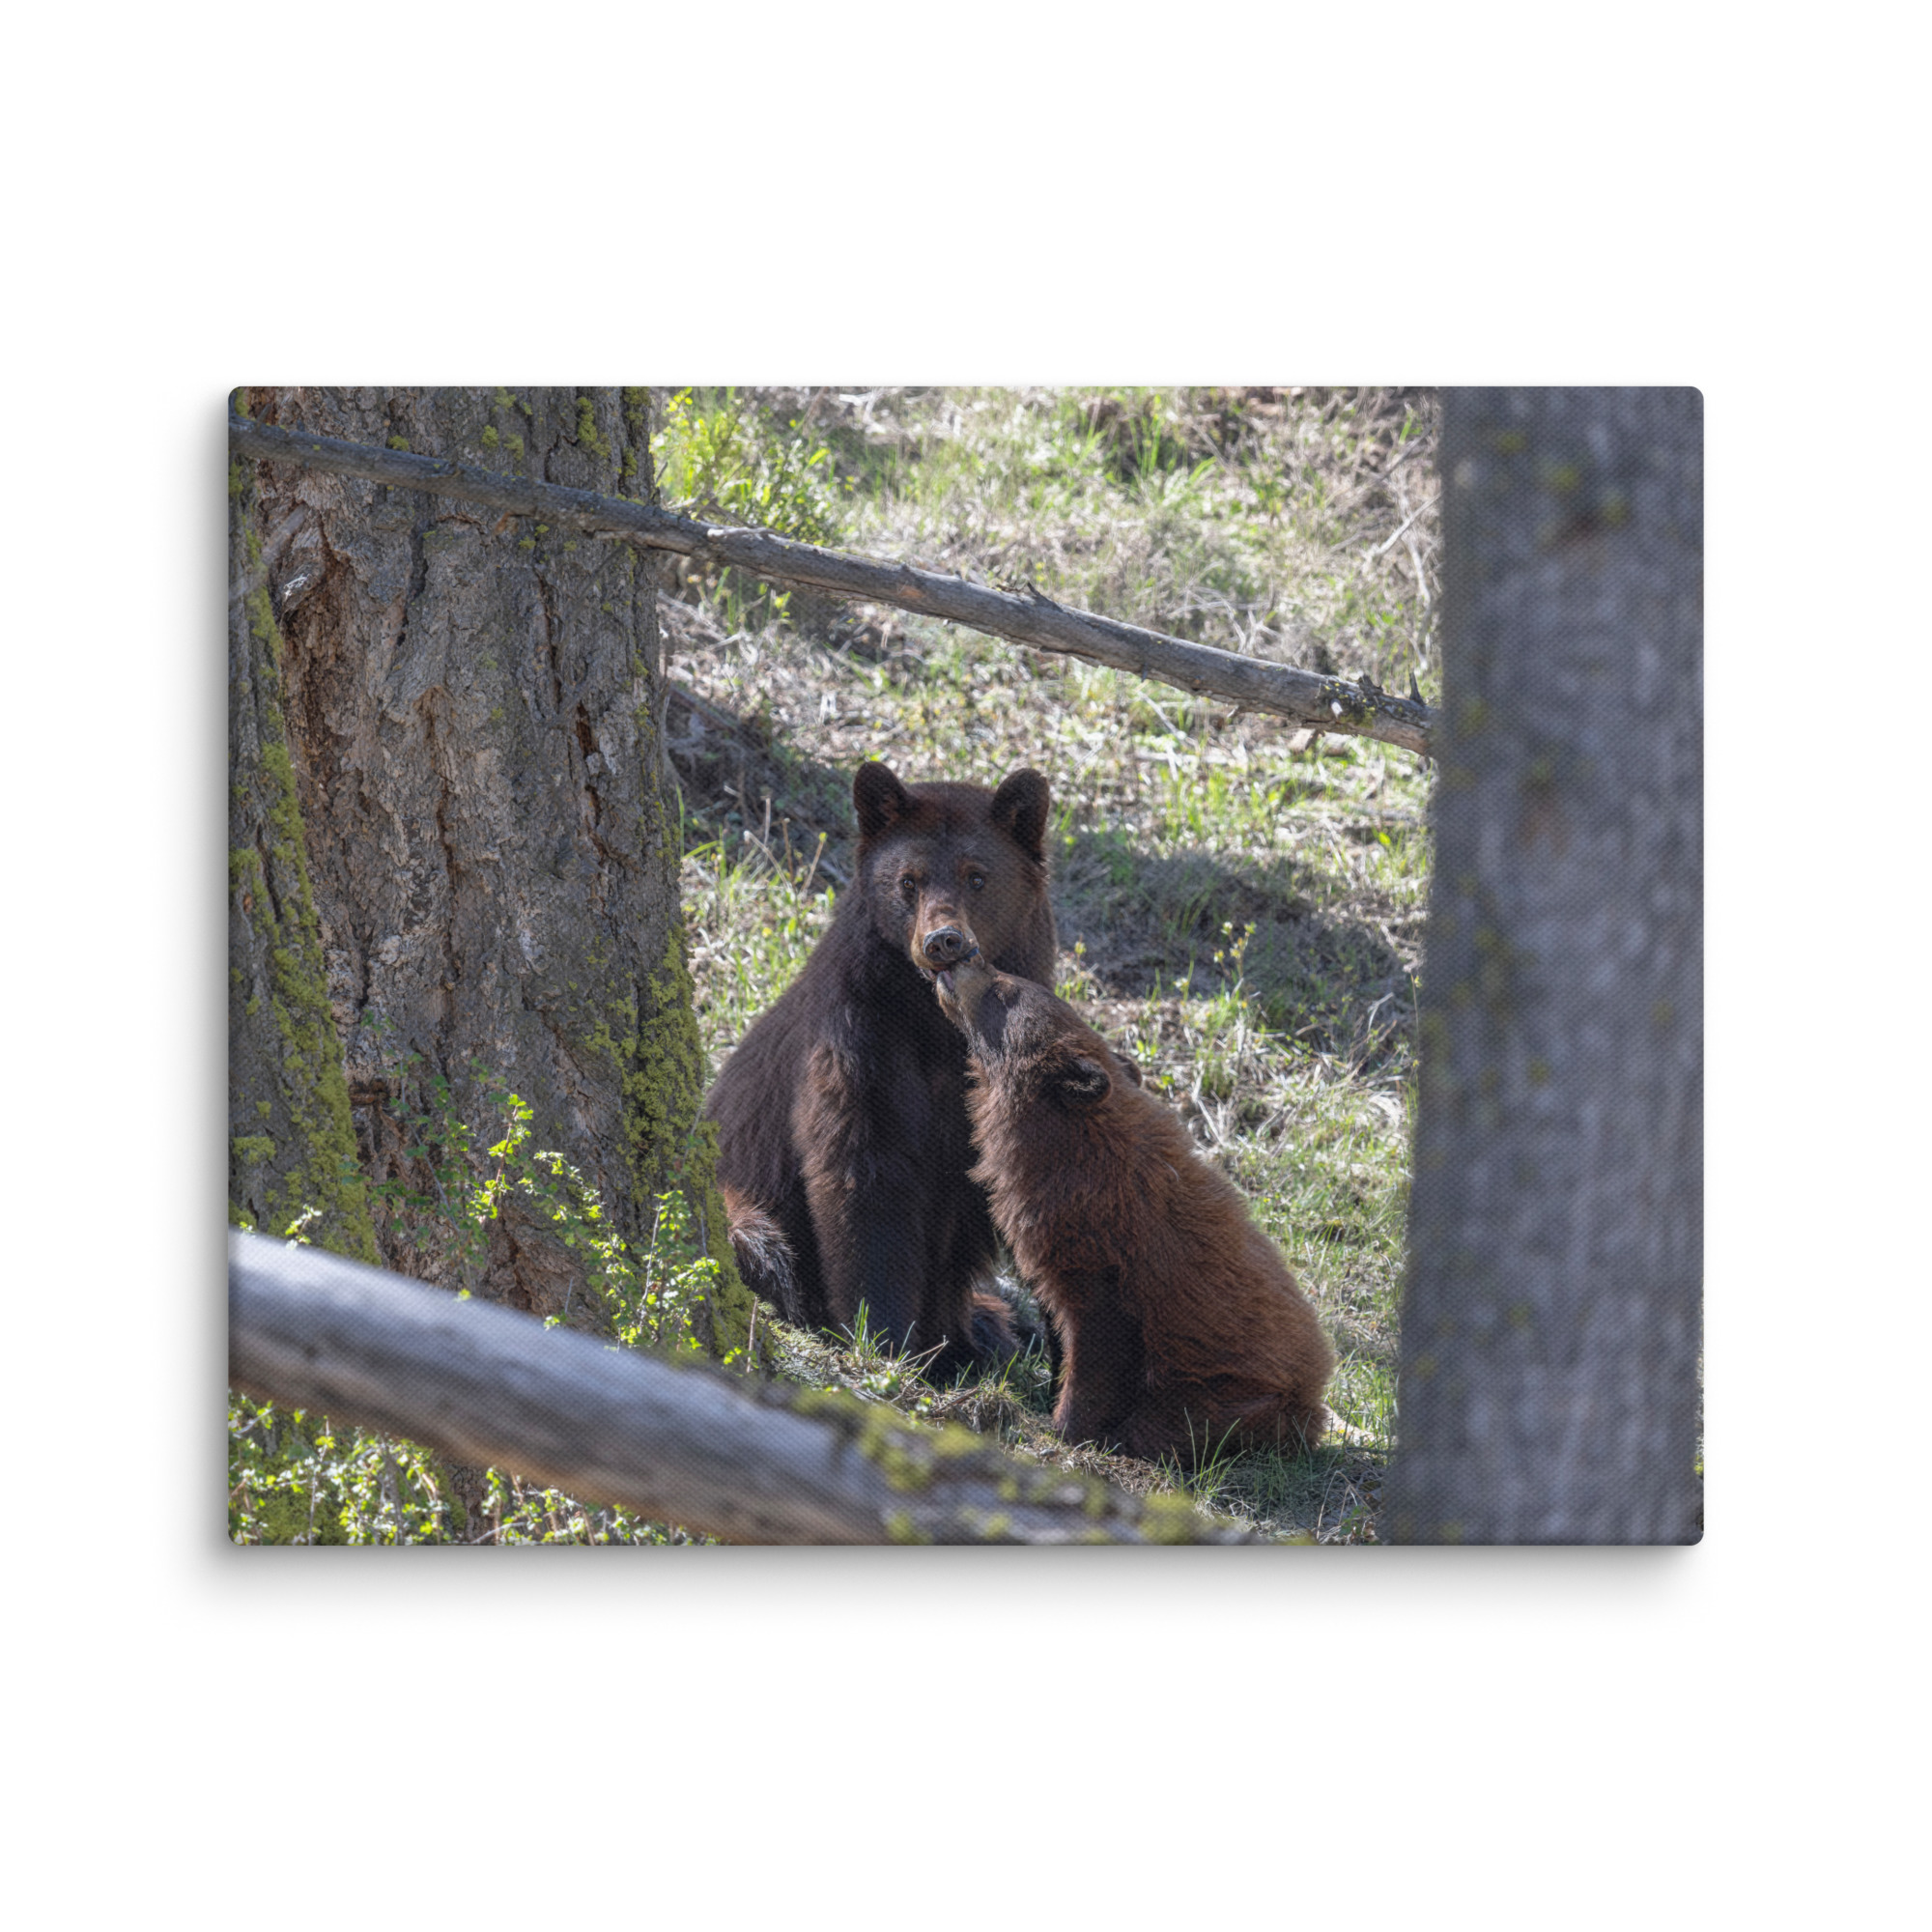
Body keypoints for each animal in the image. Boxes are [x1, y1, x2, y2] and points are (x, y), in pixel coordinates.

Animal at [703, 759, 1057, 1378]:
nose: (943, 941)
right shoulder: (859, 1038)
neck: (936, 1023)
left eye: (977, 877)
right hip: (740, 1202)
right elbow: (864, 1175)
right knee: (763, 1244)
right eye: (908, 881)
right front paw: (886, 1336)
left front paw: (956, 1339)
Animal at [931, 948, 1335, 1466]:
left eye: (1005, 989)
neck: (1069, 1149)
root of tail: (1315, 1394)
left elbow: (1098, 1344)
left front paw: (1067, 1426)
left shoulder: (1104, 1255)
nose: (968, 955)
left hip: (1231, 1395)